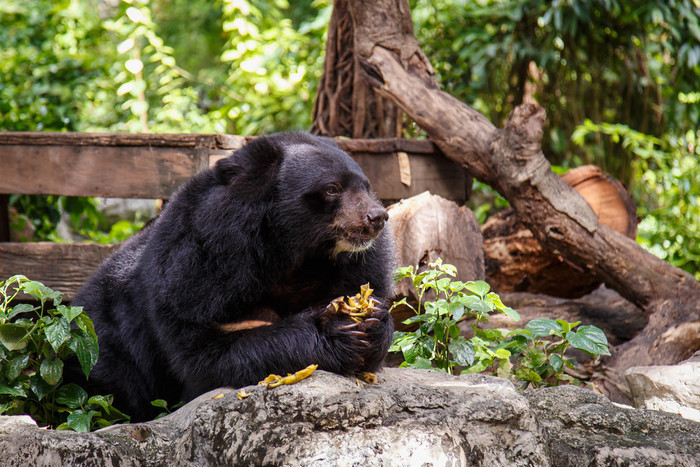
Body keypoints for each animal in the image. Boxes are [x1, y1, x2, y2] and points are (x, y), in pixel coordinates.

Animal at [74, 131, 400, 420]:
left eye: (366, 186)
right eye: (332, 188)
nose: (377, 217)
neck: (296, 253)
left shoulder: (356, 267)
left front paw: (373, 323)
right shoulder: (200, 273)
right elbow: (209, 351)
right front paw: (337, 328)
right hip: (102, 339)